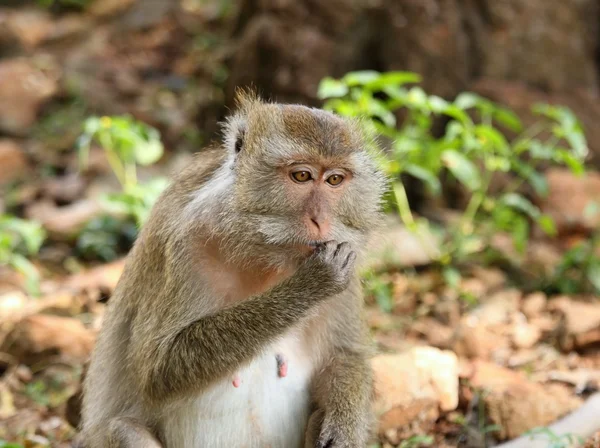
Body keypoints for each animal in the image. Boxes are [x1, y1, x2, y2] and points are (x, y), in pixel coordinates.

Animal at [78, 92, 384, 448]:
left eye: (335, 179)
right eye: (301, 176)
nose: (321, 220)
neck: (259, 252)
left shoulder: (346, 251)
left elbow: (345, 356)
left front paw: (344, 428)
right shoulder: (183, 243)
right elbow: (156, 368)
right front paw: (311, 285)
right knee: (122, 429)